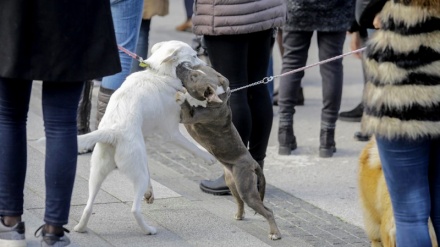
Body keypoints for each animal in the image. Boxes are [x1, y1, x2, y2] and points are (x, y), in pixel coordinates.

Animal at [73, 40, 216, 235]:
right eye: (194, 56)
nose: (208, 67)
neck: (159, 73)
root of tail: (113, 132)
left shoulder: (146, 142)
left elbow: (149, 170)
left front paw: (150, 193)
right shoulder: (171, 132)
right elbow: (192, 146)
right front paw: (209, 157)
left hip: (98, 172)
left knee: (88, 206)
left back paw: (80, 227)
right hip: (135, 174)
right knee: (134, 209)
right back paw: (149, 230)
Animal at [175, 62, 282, 240]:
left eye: (193, 77)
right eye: (194, 68)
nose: (182, 64)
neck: (210, 99)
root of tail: (254, 163)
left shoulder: (187, 117)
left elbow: (184, 103)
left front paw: (180, 94)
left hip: (247, 190)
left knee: (268, 211)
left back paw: (275, 233)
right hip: (233, 184)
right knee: (240, 202)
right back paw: (239, 215)